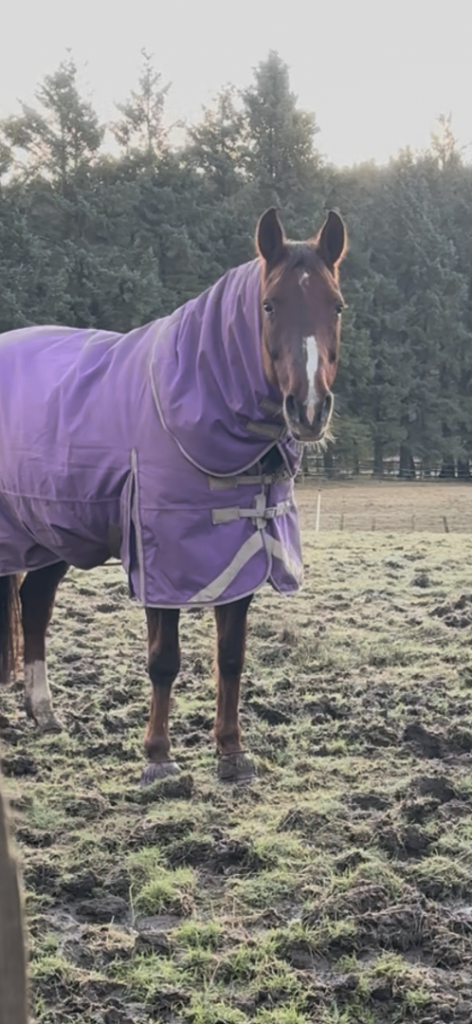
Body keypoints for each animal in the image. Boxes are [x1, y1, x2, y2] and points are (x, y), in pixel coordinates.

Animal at [0, 208, 345, 785]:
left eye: (336, 305)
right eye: (269, 304)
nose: (309, 409)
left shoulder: (238, 553)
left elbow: (231, 656)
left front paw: (231, 752)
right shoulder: (162, 561)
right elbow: (164, 659)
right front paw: (159, 757)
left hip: (51, 531)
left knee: (35, 604)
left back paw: (43, 712)